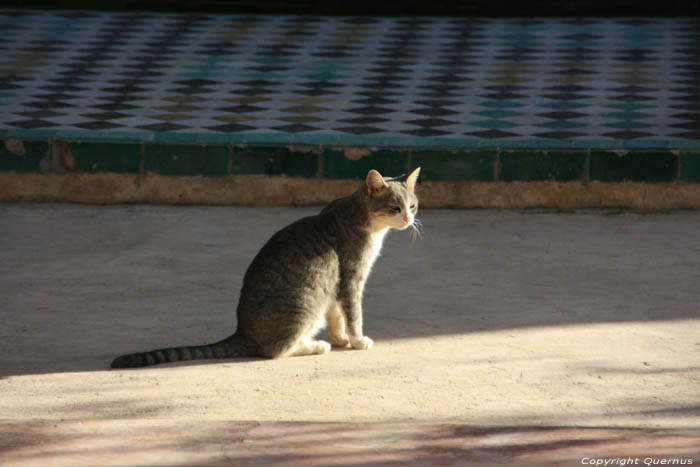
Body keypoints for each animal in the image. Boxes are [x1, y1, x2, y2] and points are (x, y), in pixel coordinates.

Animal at [110, 168, 422, 370]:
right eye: (395, 207)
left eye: (413, 206)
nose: (409, 219)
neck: (362, 217)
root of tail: (242, 333)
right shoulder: (351, 279)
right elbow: (354, 315)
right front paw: (356, 341)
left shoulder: (336, 286)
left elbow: (337, 317)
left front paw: (342, 339)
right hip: (304, 304)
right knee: (275, 350)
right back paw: (315, 345)